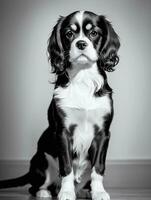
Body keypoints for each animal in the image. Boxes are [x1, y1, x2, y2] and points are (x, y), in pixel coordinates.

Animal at [0, 10, 120, 200]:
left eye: (93, 33)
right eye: (69, 34)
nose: (80, 43)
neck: (83, 78)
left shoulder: (103, 133)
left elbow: (98, 167)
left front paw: (99, 191)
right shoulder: (63, 132)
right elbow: (67, 166)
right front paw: (66, 192)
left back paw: (85, 191)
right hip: (41, 162)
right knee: (34, 186)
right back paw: (45, 192)